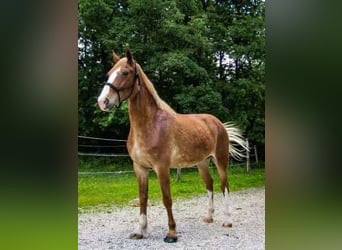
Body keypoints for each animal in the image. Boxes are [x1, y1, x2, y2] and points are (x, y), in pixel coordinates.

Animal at [97, 48, 248, 242]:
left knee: (224, 186)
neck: (151, 125)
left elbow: (166, 198)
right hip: (202, 163)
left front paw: (171, 233)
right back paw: (209, 216)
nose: (103, 101)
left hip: (220, 161)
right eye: (109, 73)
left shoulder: (162, 167)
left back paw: (227, 220)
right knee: (209, 184)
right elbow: (143, 198)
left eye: (125, 72)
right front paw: (139, 230)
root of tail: (218, 123)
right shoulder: (140, 168)